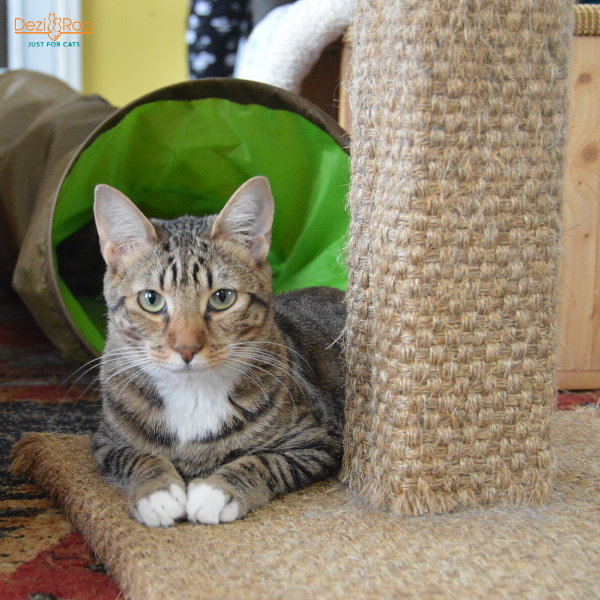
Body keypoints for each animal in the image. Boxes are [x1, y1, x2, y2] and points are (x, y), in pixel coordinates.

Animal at [89, 177, 344, 524]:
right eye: (150, 299)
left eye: (222, 297)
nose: (186, 348)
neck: (192, 394)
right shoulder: (105, 440)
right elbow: (136, 456)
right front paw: (157, 492)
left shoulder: (319, 437)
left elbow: (265, 460)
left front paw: (216, 492)